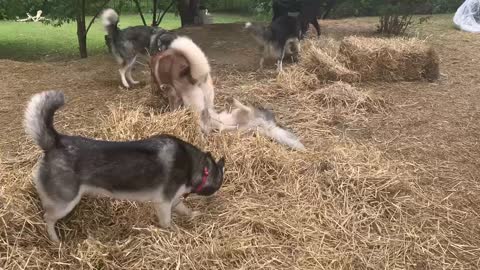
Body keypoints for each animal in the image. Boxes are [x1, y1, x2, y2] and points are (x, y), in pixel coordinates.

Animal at [22, 91, 225, 243]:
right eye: (218, 185)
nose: (214, 199)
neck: (197, 167)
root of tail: (55, 142)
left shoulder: (173, 200)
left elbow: (184, 209)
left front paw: (193, 214)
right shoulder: (163, 203)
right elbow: (167, 223)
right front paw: (175, 231)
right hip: (65, 202)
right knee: (47, 218)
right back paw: (55, 240)